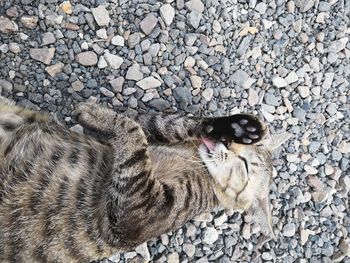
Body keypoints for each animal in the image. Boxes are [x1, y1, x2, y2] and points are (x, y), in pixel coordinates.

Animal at [0, 98, 290, 262]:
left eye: (245, 165)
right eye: (246, 154)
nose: (229, 143)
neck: (192, 159)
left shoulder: (136, 212)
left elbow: (134, 131)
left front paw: (96, 115)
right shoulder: (150, 132)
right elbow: (169, 123)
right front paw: (237, 126)